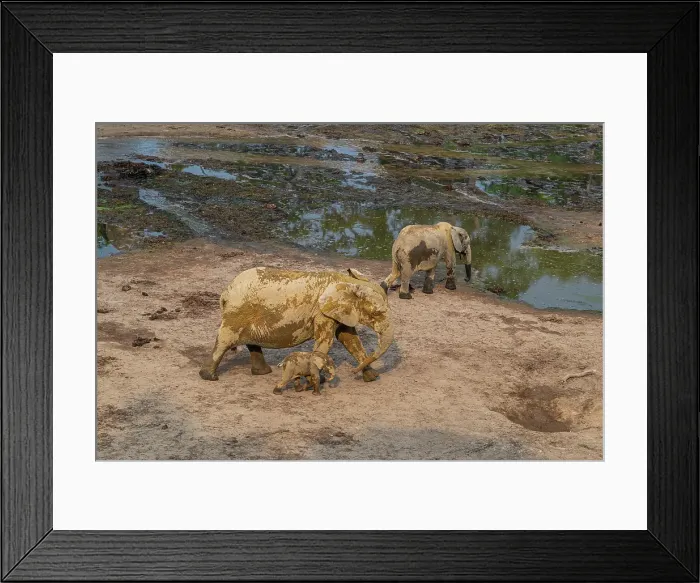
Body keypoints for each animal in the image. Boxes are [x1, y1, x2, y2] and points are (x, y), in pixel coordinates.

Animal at [199, 267, 394, 382]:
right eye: (377, 314)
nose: (352, 372)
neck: (349, 282)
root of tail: (225, 293)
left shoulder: (340, 311)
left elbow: (350, 339)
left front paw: (372, 377)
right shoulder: (321, 313)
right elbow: (326, 342)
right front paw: (319, 379)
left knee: (250, 342)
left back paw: (263, 373)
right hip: (238, 312)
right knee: (225, 340)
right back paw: (209, 377)